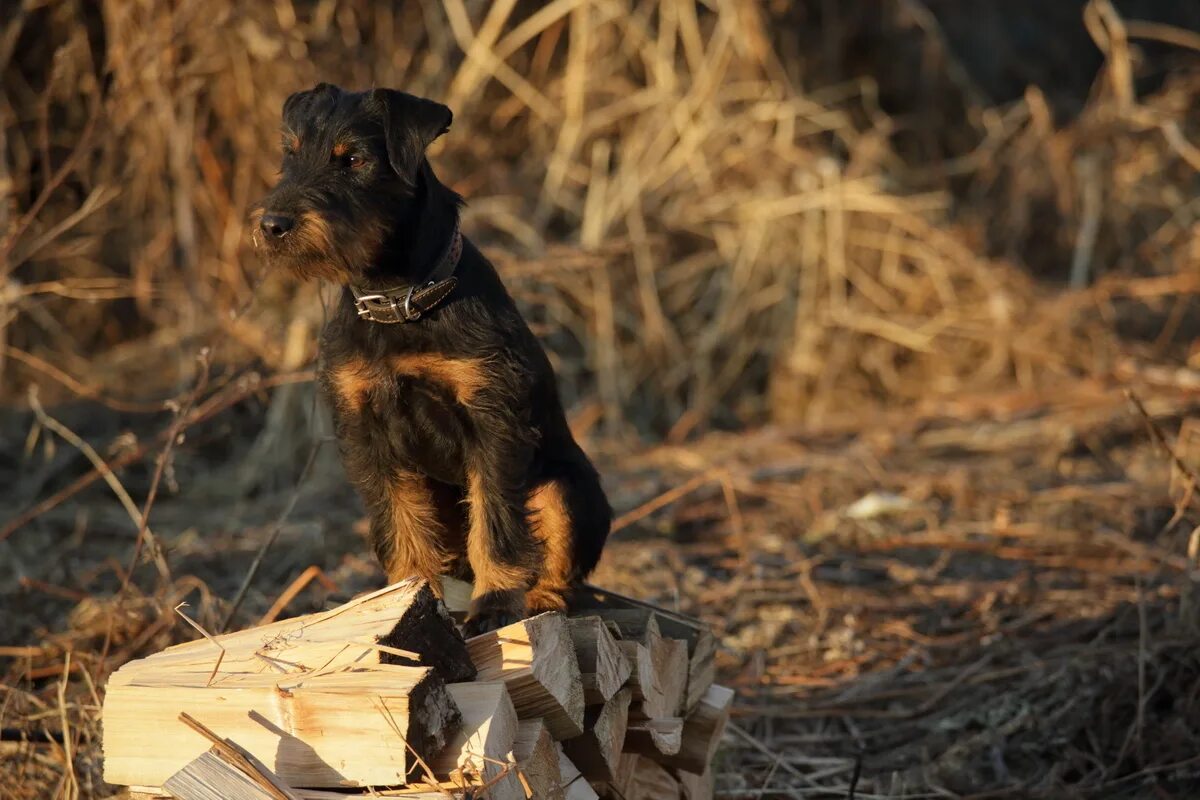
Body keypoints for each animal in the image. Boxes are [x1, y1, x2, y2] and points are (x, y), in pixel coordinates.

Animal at [253, 84, 609, 633]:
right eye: (290, 154)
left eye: (353, 160)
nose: (273, 225)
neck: (398, 301)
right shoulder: (365, 431)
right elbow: (399, 522)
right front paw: (406, 600)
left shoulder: (493, 421)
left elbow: (497, 523)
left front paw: (494, 604)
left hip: (566, 489)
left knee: (557, 564)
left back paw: (540, 599)